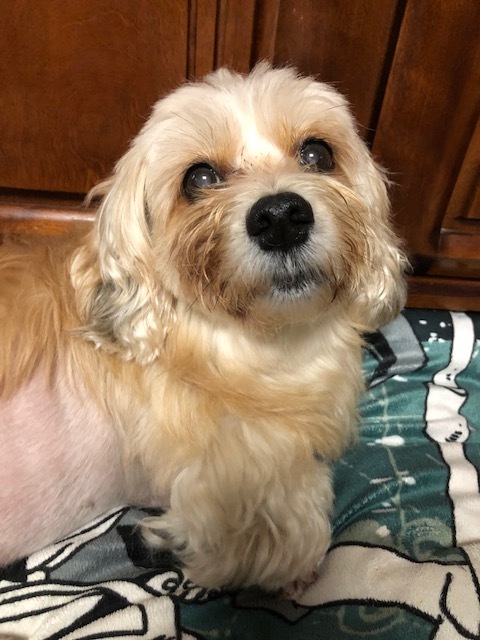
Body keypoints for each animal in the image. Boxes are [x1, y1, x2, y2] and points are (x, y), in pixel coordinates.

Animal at [0, 63, 407, 592]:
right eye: (199, 177)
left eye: (318, 153)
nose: (281, 217)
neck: (260, 342)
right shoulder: (230, 484)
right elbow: (294, 513)